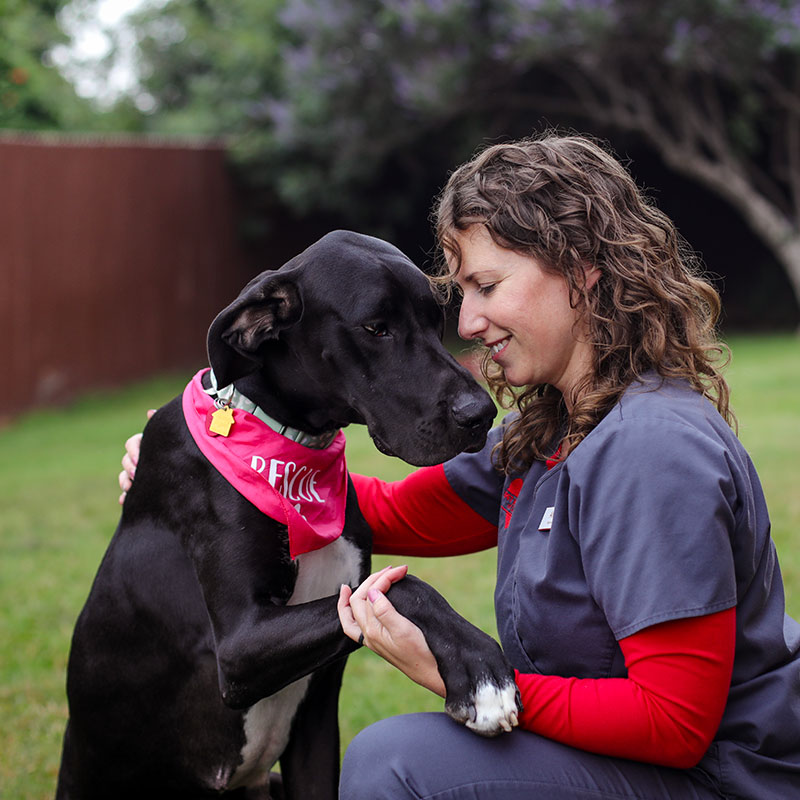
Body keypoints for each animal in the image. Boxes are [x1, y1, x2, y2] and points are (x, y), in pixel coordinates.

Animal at [54, 231, 520, 800]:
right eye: (376, 328)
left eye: (436, 321)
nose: (481, 414)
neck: (294, 451)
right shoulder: (239, 644)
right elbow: (407, 588)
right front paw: (482, 673)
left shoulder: (316, 726)